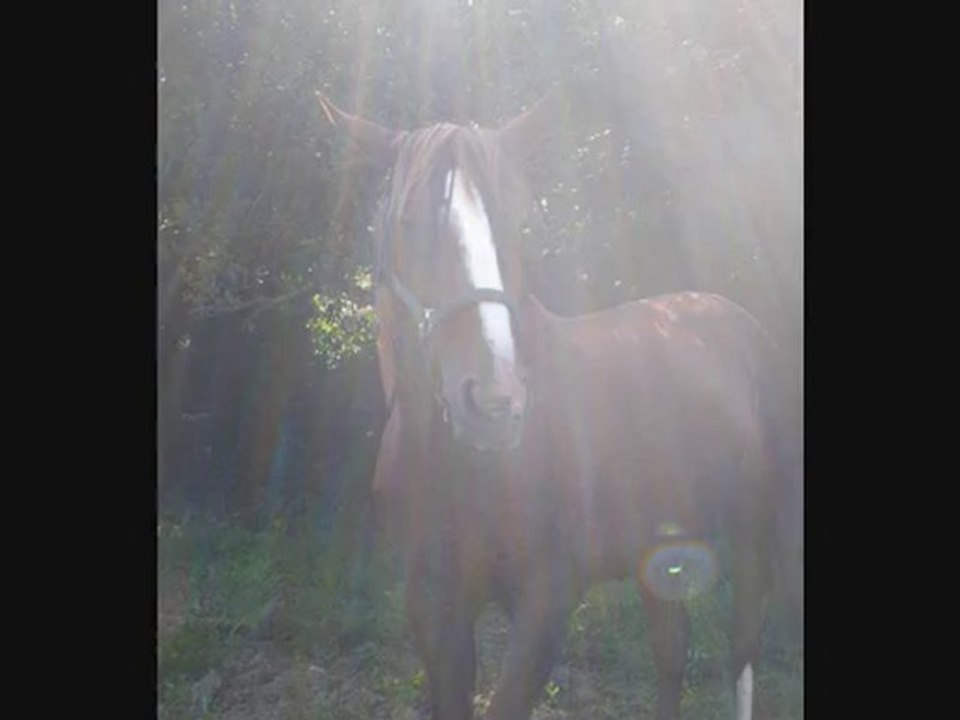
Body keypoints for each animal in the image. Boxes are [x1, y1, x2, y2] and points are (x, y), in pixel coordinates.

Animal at [317, 90, 802, 720]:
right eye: (408, 222)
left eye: (518, 224)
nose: (495, 402)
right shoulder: (433, 606)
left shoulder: (546, 600)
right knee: (672, 649)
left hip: (757, 531)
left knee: (741, 651)